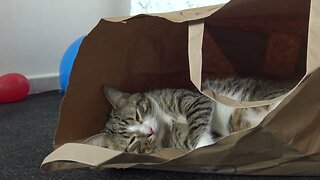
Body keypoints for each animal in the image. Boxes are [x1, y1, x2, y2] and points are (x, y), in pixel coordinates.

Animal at [84, 77, 290, 153]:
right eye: (133, 141)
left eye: (137, 115)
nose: (149, 131)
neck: (165, 122)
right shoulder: (176, 140)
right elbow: (194, 139)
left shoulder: (195, 98)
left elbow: (196, 119)